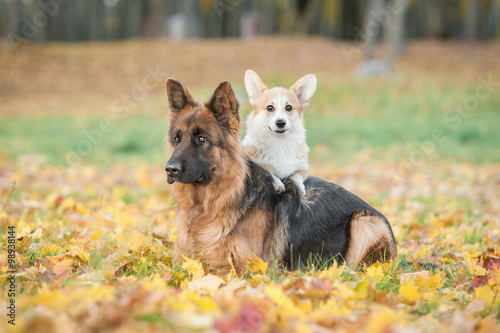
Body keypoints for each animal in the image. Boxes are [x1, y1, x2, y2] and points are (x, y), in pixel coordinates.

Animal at [166, 78, 396, 272]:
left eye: (202, 139)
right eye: (177, 139)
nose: (170, 169)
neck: (206, 207)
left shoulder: (242, 269)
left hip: (364, 222)